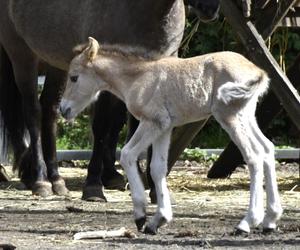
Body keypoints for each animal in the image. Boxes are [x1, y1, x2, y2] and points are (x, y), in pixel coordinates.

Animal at [0, 0, 219, 199]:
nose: (210, 8)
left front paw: (153, 188)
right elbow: (103, 126)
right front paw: (93, 186)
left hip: (55, 63)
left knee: (50, 111)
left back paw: (55, 179)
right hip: (23, 55)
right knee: (33, 112)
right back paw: (40, 179)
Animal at [59, 37, 282, 234]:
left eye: (74, 77)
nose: (63, 109)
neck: (137, 78)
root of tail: (258, 72)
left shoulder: (153, 122)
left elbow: (128, 155)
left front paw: (141, 216)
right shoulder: (164, 128)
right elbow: (157, 168)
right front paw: (158, 220)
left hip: (229, 116)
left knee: (253, 155)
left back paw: (247, 222)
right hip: (247, 115)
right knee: (267, 149)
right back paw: (270, 220)